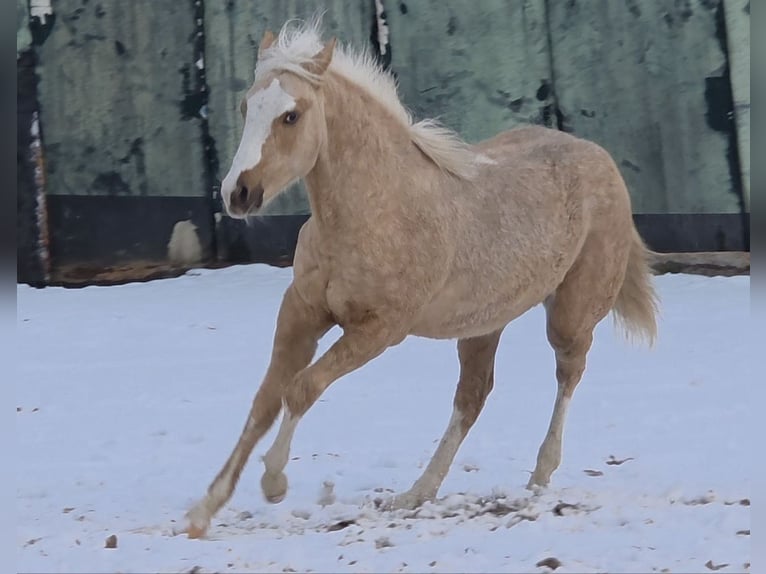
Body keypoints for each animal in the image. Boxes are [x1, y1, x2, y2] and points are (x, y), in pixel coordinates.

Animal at [184, 17, 659, 539]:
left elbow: (302, 388)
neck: (377, 209)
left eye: (292, 115)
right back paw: (416, 493)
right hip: (482, 326)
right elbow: (265, 401)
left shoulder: (379, 330)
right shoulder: (301, 313)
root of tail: (598, 155)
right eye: (247, 106)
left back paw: (538, 475)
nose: (238, 193)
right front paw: (203, 510)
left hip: (570, 315)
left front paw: (273, 481)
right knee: (473, 397)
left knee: (568, 372)